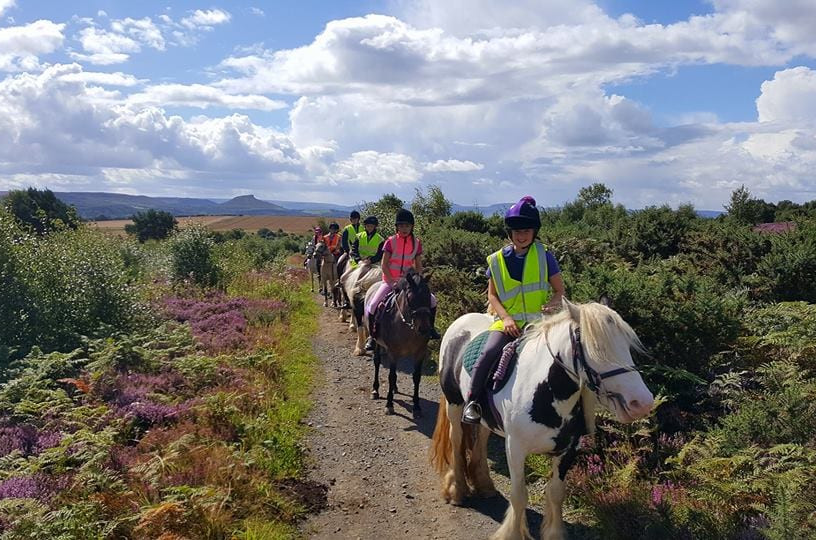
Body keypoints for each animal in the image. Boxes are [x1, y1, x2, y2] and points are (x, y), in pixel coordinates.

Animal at [364, 270, 434, 418]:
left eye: (428, 297)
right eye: (411, 299)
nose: (424, 329)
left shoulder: (420, 352)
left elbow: (416, 377)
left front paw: (417, 406)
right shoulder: (393, 352)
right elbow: (391, 376)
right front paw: (389, 405)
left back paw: (395, 388)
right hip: (378, 343)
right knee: (377, 362)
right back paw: (375, 390)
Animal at [434, 298, 656, 540]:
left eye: (627, 346)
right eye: (597, 348)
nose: (642, 403)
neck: (544, 391)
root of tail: (462, 322)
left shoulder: (568, 450)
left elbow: (556, 493)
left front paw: (553, 533)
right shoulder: (515, 448)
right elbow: (519, 494)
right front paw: (512, 533)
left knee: (481, 438)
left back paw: (484, 484)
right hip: (454, 403)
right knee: (456, 441)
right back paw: (457, 490)